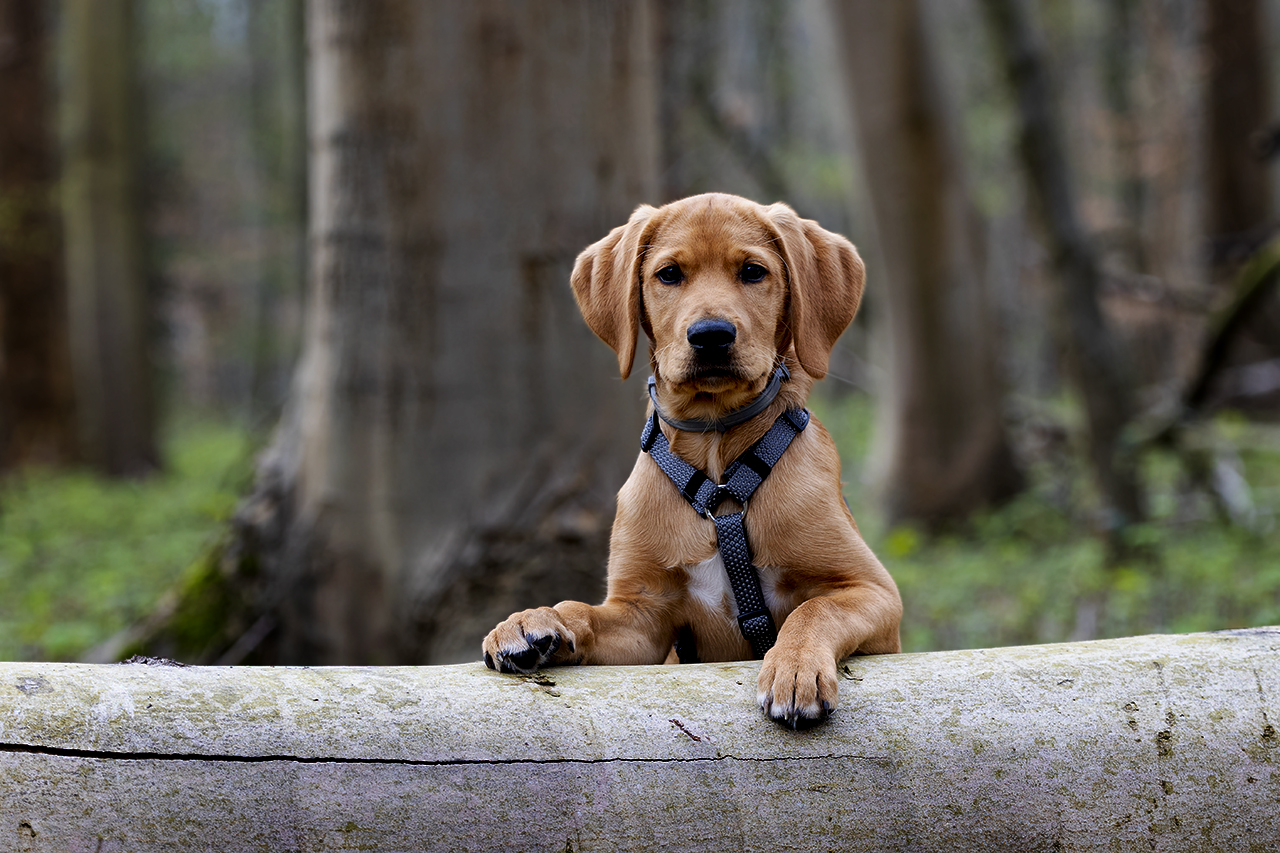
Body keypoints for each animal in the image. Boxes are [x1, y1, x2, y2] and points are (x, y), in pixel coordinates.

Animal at [483, 192, 906, 722]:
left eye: (752, 271)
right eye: (668, 274)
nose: (710, 335)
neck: (717, 460)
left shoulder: (873, 592)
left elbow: (814, 609)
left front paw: (794, 667)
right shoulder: (644, 619)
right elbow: (582, 611)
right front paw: (534, 620)